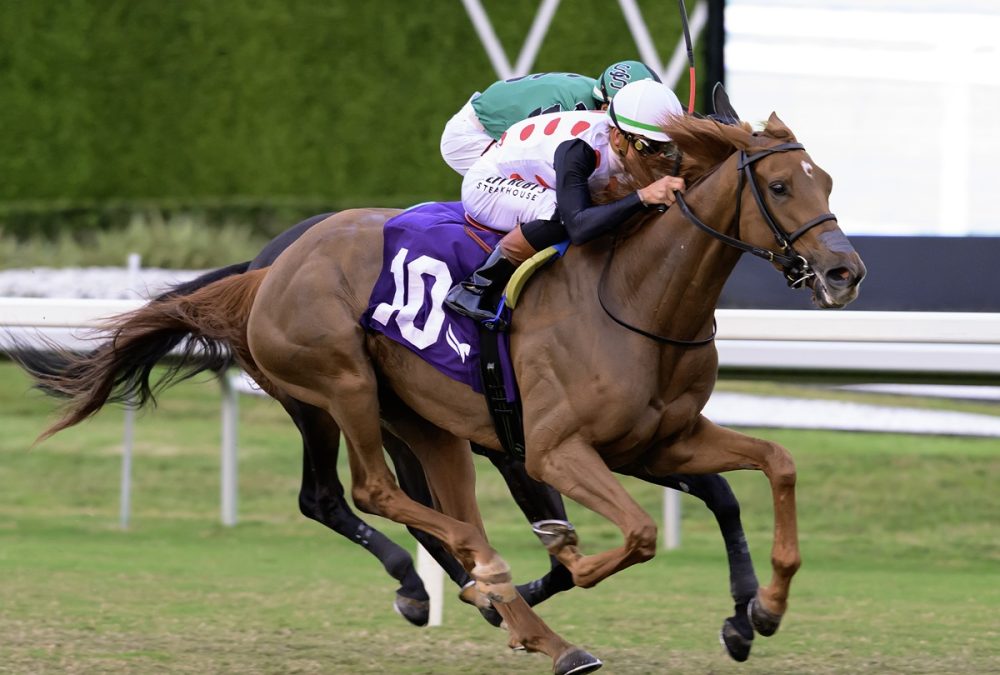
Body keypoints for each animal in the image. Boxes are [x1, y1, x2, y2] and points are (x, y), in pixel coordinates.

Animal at [22, 112, 865, 673]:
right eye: (781, 184)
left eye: (826, 180)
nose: (845, 270)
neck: (638, 298)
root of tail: (269, 269)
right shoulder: (555, 450)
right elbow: (635, 534)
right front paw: (551, 566)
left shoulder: (662, 440)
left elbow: (773, 464)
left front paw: (763, 607)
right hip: (338, 385)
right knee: (365, 491)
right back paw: (483, 583)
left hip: (426, 422)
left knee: (422, 506)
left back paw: (530, 622)